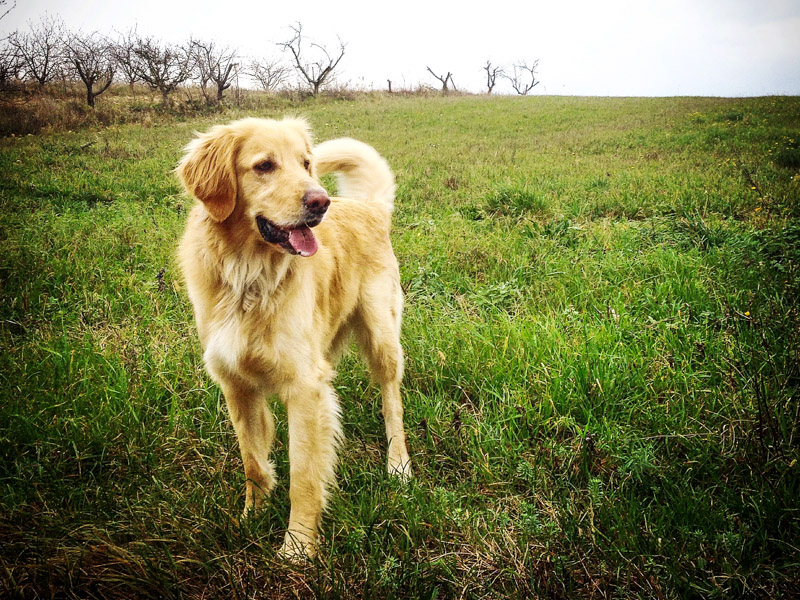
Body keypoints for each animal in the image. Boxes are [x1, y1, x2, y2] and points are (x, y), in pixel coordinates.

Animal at [176, 117, 412, 556]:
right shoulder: (236, 385)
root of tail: (368, 208)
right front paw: (250, 519)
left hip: (382, 335)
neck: (248, 278)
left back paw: (399, 465)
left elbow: (303, 475)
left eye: (305, 163)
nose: (321, 202)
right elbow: (253, 462)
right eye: (264, 166)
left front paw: (297, 549)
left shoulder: (304, 387)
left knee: (393, 402)